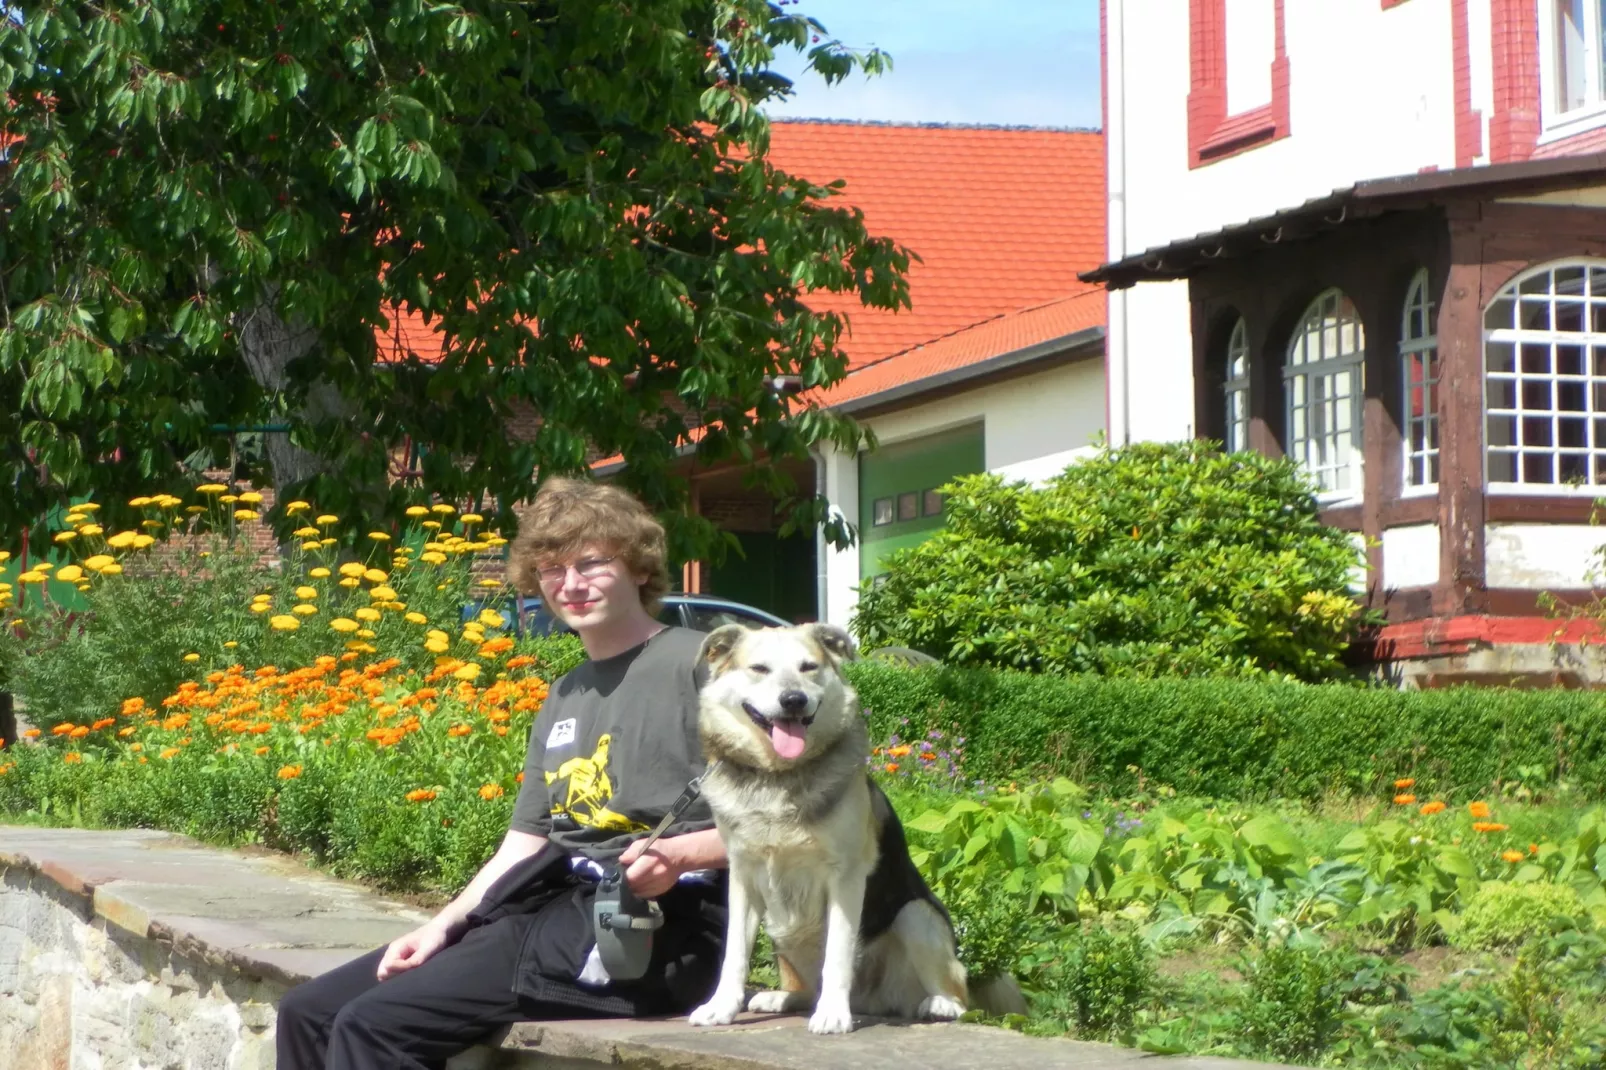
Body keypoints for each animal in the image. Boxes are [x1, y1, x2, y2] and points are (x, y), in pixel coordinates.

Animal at [687, 620, 1014, 1028]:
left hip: (916, 916)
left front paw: (832, 1014)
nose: (793, 700)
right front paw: (721, 1006)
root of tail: (871, 1001)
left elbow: (838, 955)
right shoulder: (743, 877)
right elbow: (734, 954)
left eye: (808, 667)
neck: (780, 776)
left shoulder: (845, 877)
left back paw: (939, 1004)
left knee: (957, 992)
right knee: (803, 984)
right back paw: (785, 996)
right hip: (783, 932)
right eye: (759, 669)